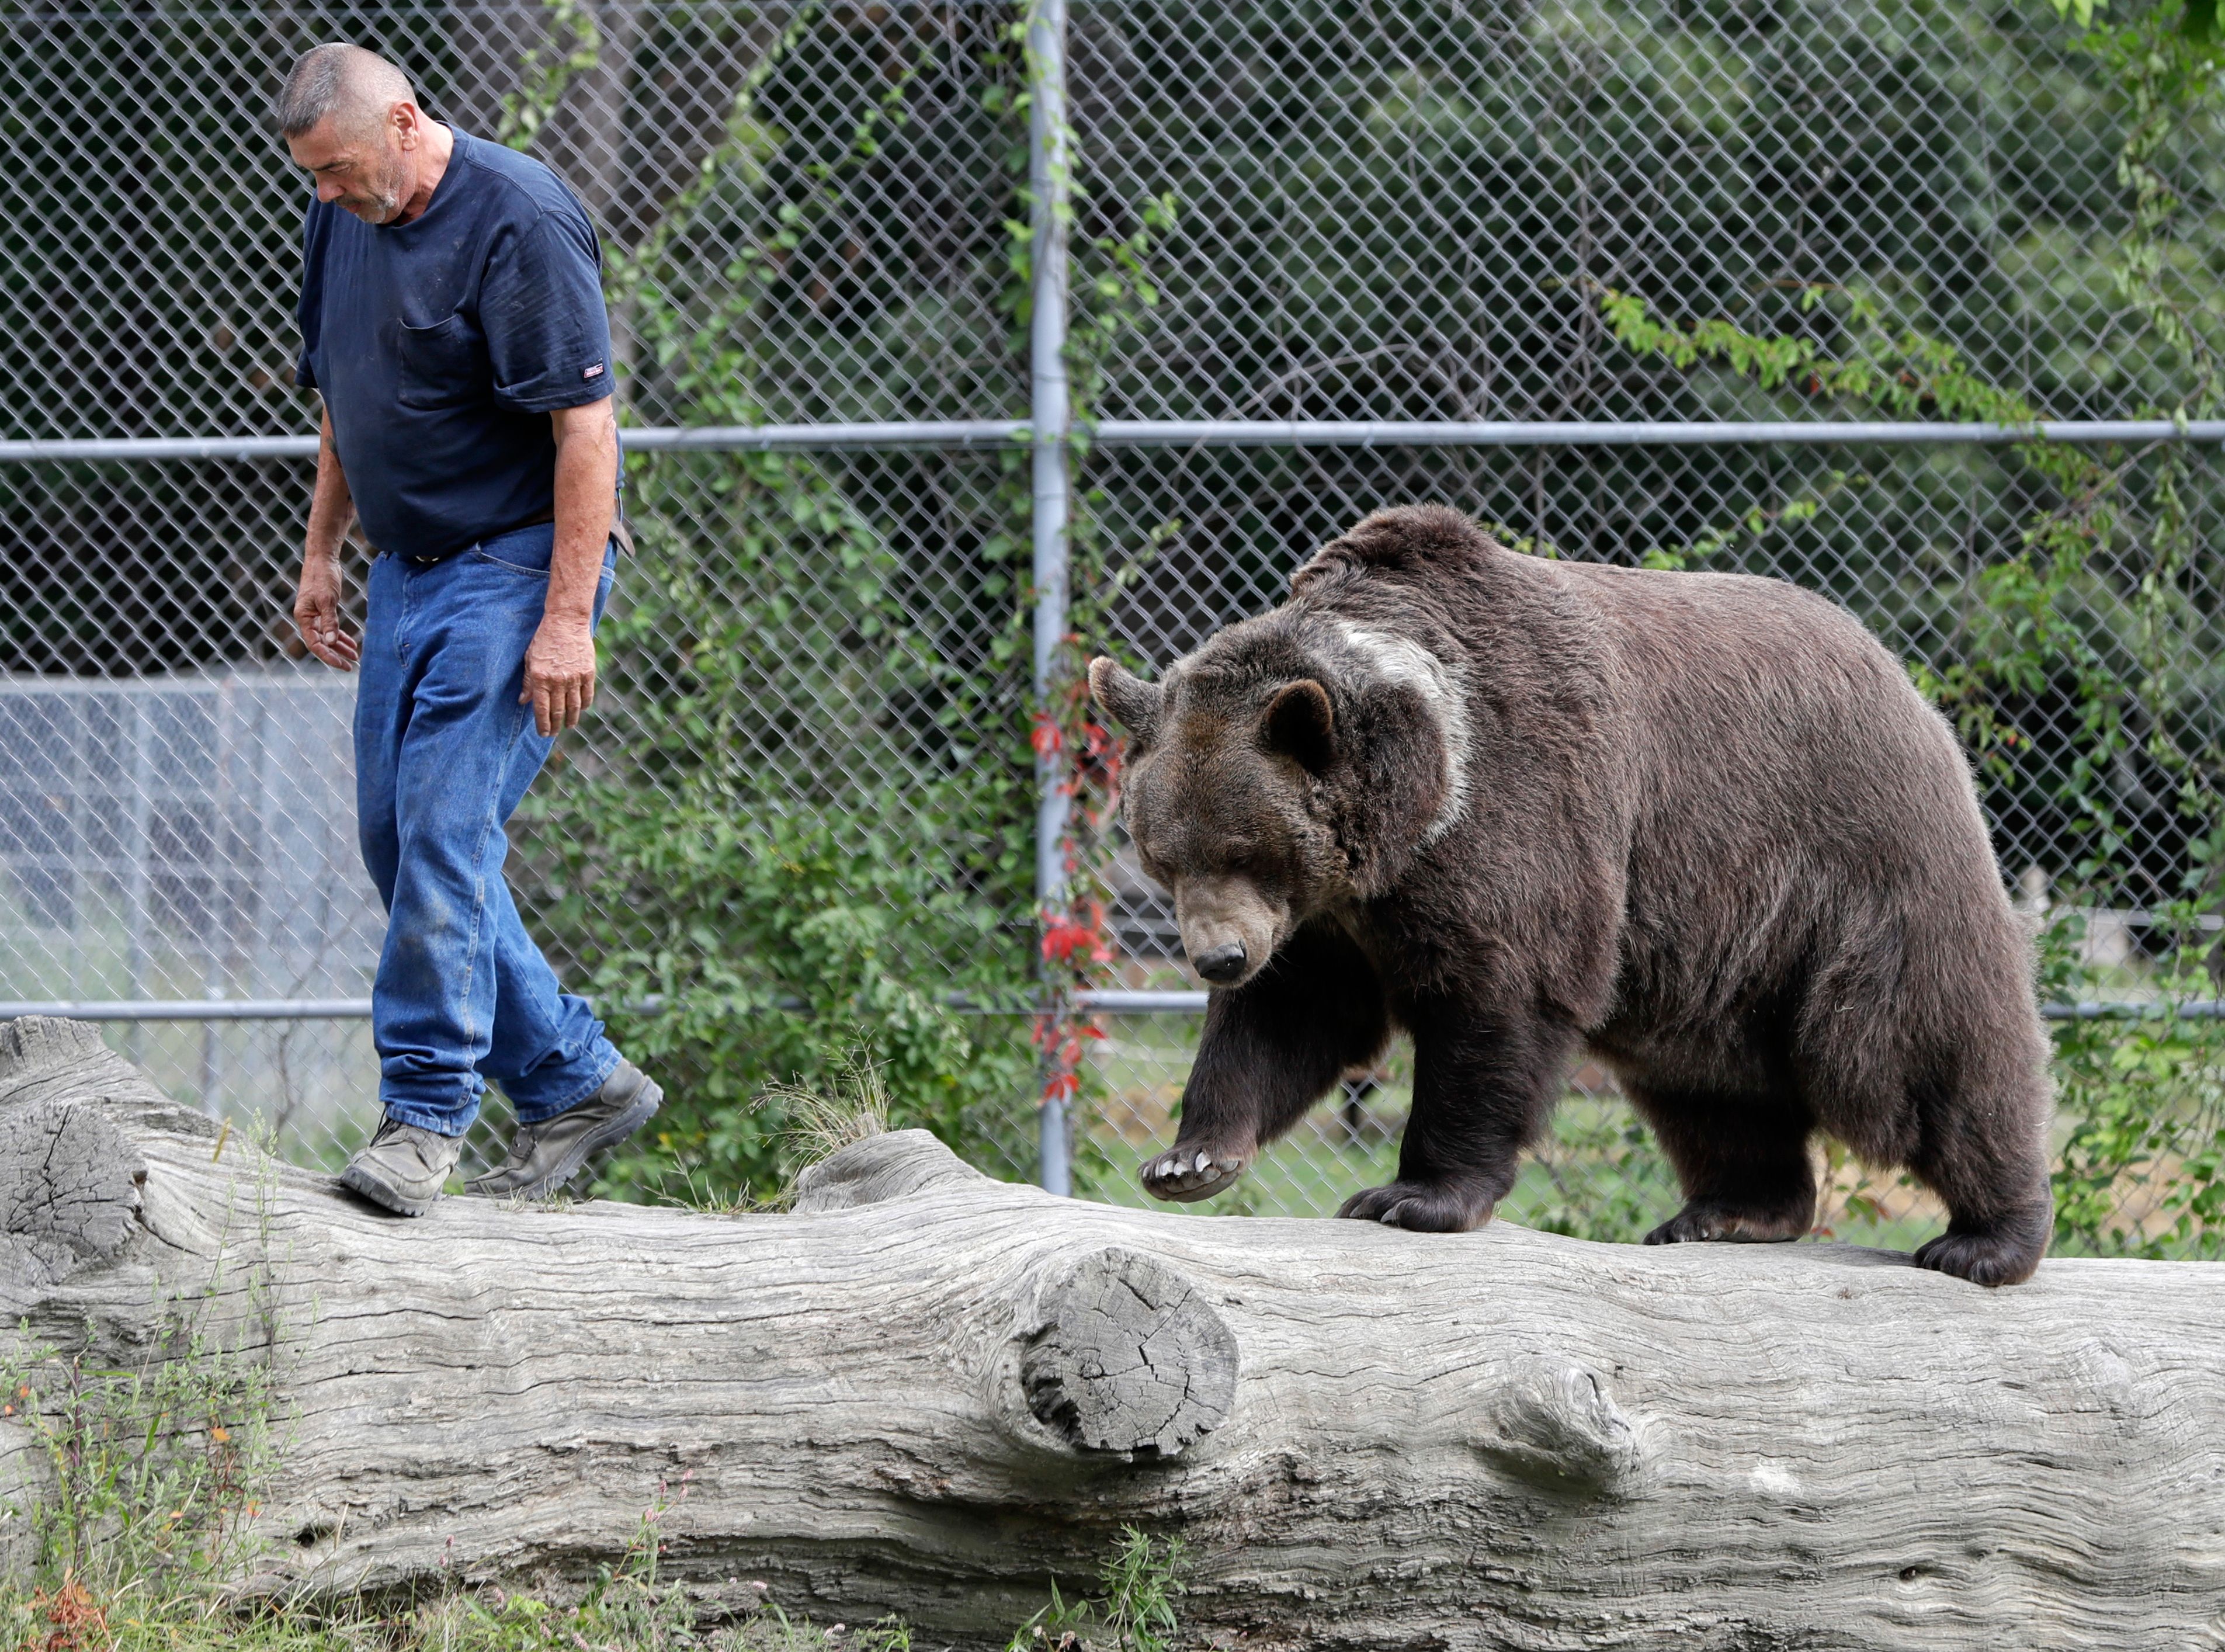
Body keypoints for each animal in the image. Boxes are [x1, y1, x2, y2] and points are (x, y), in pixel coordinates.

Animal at [1090, 505, 2047, 1291]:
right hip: (1708, 948)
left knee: (1919, 1041)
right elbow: (1288, 1018)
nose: (1218, 956)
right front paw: (1190, 1159)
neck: (1418, 814)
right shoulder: (1331, 920)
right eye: (1162, 855)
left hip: (1851, 861)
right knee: (1711, 1083)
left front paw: (1413, 1194)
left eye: (1246, 848)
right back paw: (1731, 1210)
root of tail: (1901, 676)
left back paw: (1987, 1237)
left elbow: (1495, 1002)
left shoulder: (1522, 812)